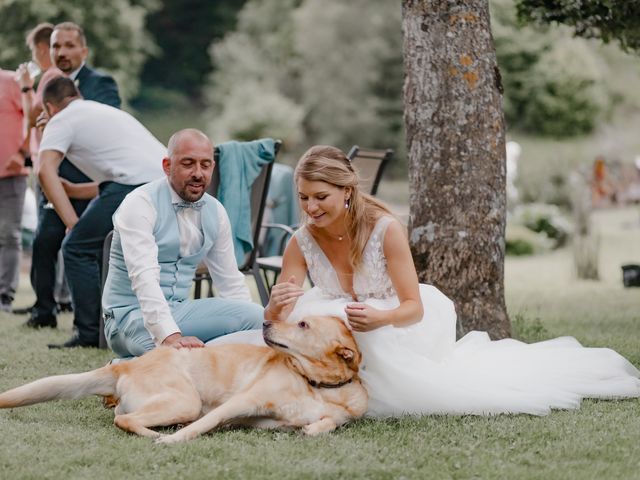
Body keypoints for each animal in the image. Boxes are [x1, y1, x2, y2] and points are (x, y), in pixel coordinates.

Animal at [0, 316, 368, 442]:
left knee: (121, 415)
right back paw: (156, 434)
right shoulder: (241, 401)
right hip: (186, 400)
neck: (316, 385)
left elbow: (327, 424)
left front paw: (313, 429)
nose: (265, 323)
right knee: (126, 421)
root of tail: (127, 366)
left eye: (303, 325)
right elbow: (203, 425)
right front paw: (173, 441)